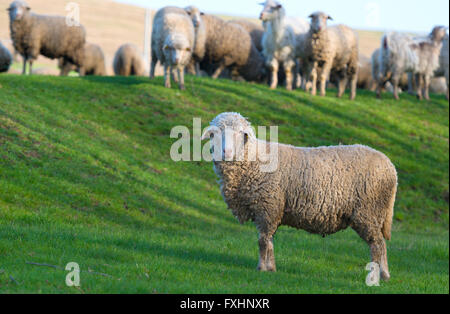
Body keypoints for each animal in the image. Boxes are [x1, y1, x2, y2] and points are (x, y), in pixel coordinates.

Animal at [203, 113, 398, 282]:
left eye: (240, 133)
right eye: (215, 133)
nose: (227, 152)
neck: (253, 159)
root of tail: (391, 167)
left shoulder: (267, 208)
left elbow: (263, 241)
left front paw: (262, 269)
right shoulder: (271, 210)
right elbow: (269, 241)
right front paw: (271, 268)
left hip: (369, 211)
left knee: (378, 244)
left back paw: (380, 275)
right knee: (380, 244)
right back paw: (385, 274)